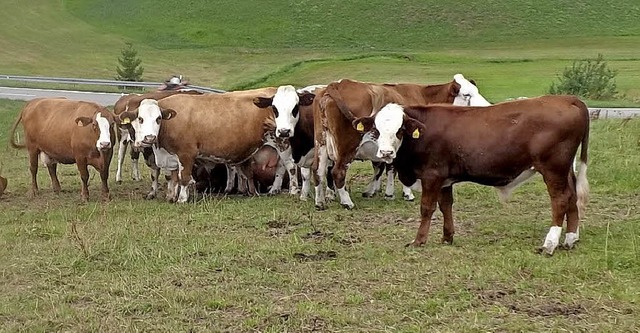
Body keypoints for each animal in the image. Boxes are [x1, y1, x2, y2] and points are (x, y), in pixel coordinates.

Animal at [312, 74, 484, 209]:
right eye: (467, 94)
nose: (486, 107)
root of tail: (337, 84)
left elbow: (387, 168)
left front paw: (381, 192)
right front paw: (405, 193)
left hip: (321, 143)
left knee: (318, 170)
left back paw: (320, 202)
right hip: (347, 148)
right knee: (337, 171)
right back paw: (346, 202)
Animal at [356, 94, 592, 255]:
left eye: (400, 130)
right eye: (376, 130)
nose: (386, 153)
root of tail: (568, 99)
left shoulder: (432, 175)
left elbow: (427, 208)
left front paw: (419, 241)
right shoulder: (445, 179)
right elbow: (446, 205)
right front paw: (447, 237)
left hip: (553, 169)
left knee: (560, 199)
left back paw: (549, 244)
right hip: (565, 170)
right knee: (572, 197)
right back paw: (570, 239)